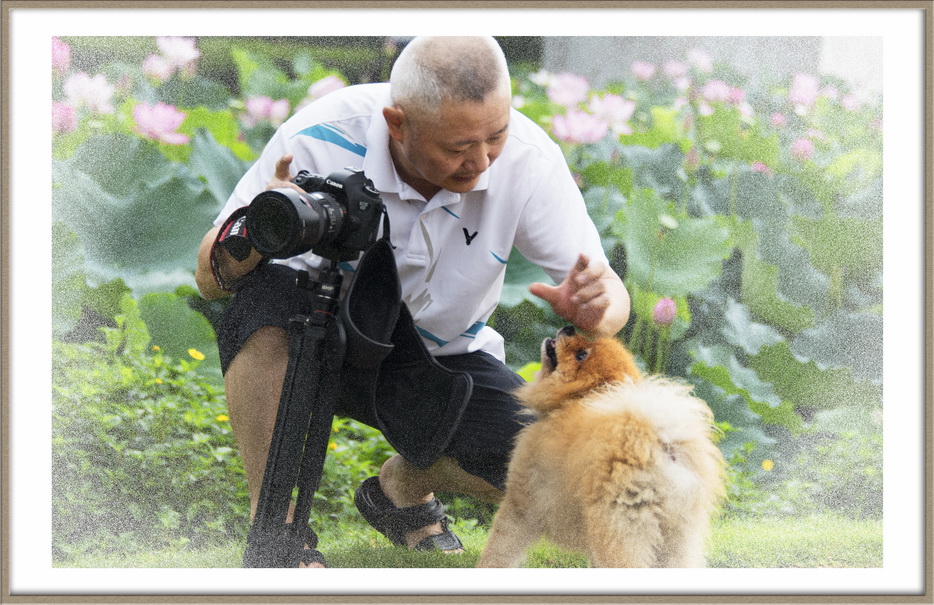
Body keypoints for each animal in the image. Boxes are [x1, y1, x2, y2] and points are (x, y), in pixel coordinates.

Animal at [478, 326, 728, 568]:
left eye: (581, 354)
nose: (569, 327)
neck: (573, 400)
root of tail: (664, 444)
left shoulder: (521, 502)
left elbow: (499, 550)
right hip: (676, 538)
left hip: (619, 525)